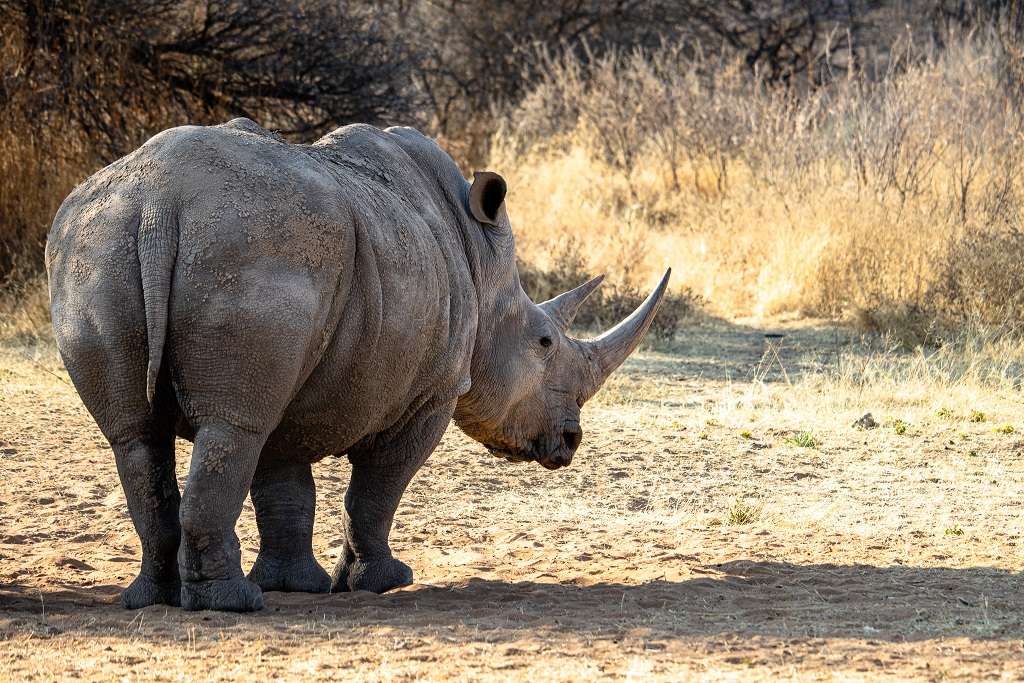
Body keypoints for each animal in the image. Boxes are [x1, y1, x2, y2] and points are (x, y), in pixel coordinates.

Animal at [46, 118, 670, 612]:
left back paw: (155, 598)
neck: (483, 264)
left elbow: (284, 484)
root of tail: (159, 206)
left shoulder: (300, 367)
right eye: (544, 342)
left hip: (100, 247)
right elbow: (377, 486)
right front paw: (384, 583)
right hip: (253, 249)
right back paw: (230, 605)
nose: (569, 442)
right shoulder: (432, 392)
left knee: (140, 437)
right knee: (232, 428)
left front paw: (296, 586)